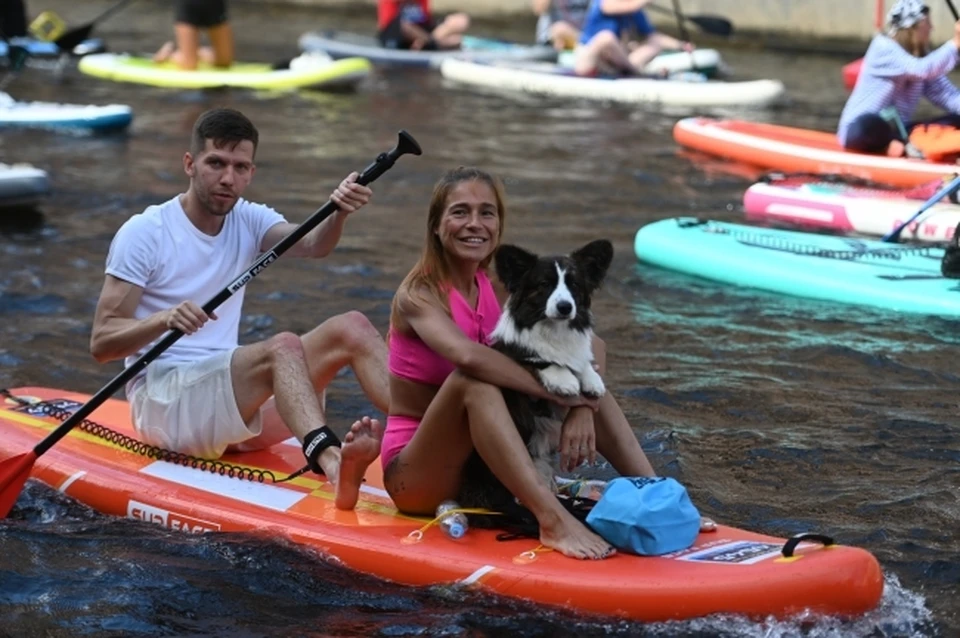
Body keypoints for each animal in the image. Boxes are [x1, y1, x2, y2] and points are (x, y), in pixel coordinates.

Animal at [460, 240, 616, 516]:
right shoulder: (508, 357)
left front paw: (593, 381)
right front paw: (564, 381)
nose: (565, 307)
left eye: (574, 284)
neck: (555, 331)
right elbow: (537, 359)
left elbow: (582, 362)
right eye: (545, 284)